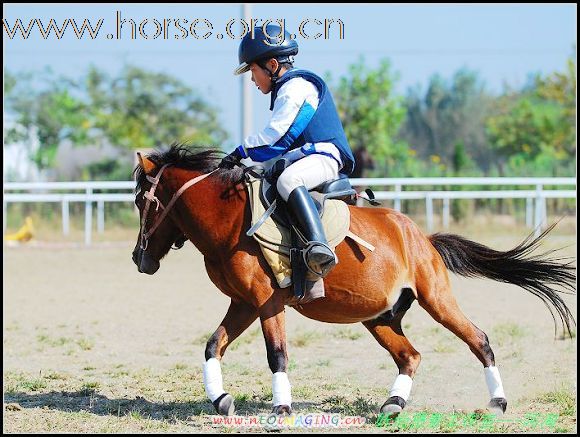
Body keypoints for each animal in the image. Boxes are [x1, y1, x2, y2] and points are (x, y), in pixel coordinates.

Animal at [133, 145, 576, 418]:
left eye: (141, 201)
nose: (140, 259)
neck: (230, 223)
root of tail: (421, 236)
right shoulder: (244, 303)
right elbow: (213, 345)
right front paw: (222, 400)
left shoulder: (267, 302)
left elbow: (277, 355)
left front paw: (281, 408)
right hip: (378, 316)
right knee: (410, 355)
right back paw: (394, 403)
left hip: (436, 299)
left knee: (478, 339)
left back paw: (497, 402)